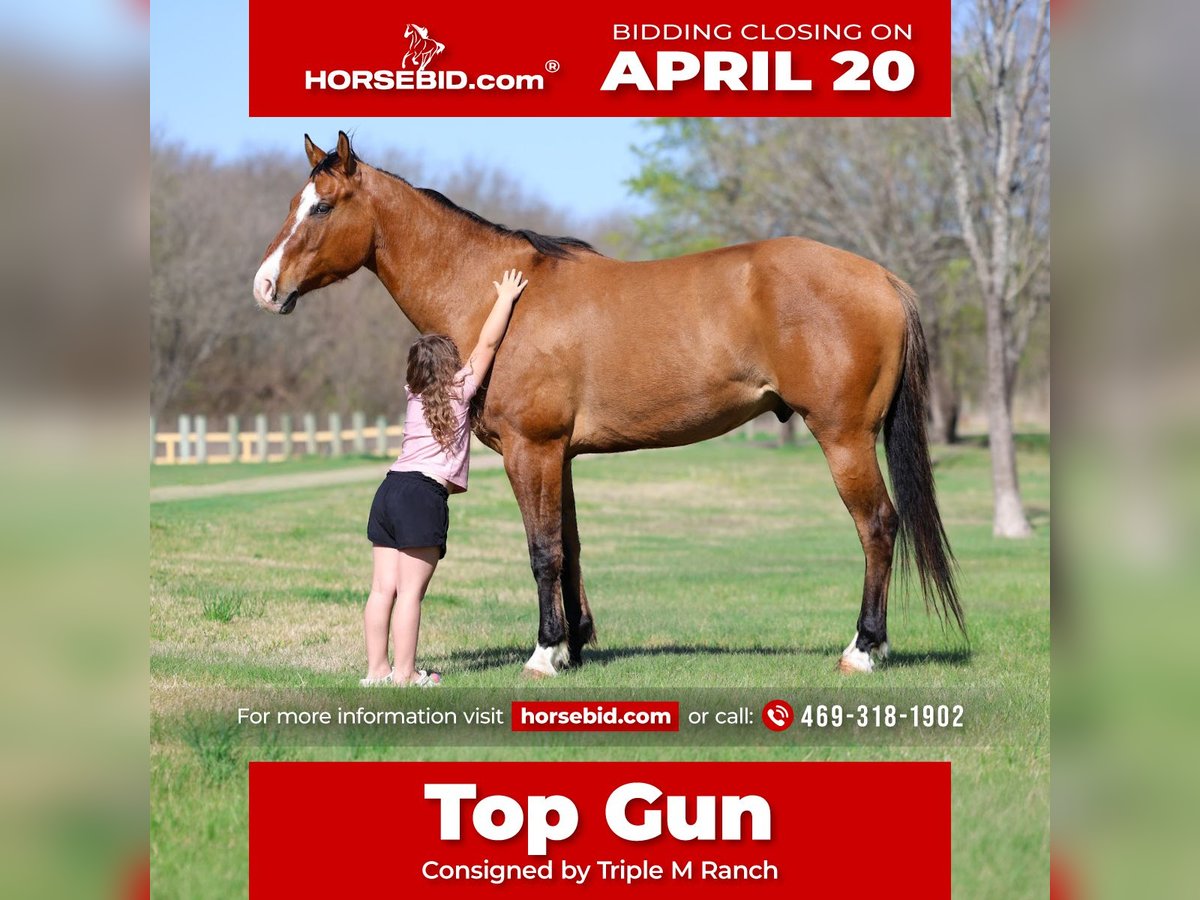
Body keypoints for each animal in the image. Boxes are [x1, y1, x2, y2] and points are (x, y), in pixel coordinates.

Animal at [252, 132, 965, 677]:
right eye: (291, 202)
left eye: (322, 207)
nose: (264, 286)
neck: (497, 294)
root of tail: (882, 277)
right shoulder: (559, 455)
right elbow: (569, 546)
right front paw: (574, 644)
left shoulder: (530, 449)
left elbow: (542, 550)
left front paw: (545, 654)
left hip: (844, 438)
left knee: (879, 527)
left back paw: (864, 649)